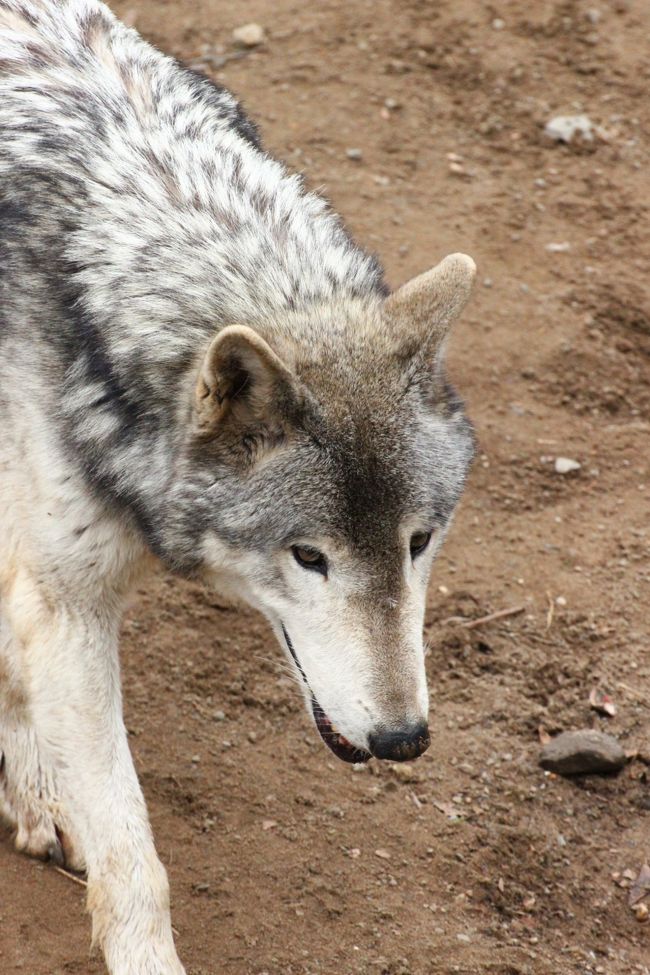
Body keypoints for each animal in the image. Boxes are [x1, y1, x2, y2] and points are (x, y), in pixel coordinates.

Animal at [0, 0, 476, 972]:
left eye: (418, 541)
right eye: (309, 557)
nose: (404, 740)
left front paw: (31, 779)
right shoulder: (70, 600)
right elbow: (134, 859)